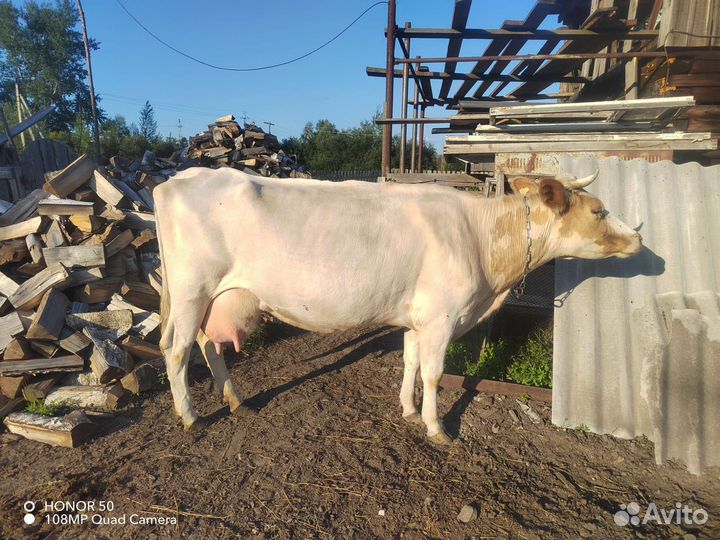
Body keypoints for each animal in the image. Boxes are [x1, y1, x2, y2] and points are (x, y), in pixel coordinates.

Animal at [155, 167, 642, 444]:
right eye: (598, 210)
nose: (638, 239)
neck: (480, 238)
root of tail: (178, 177)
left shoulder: (417, 317)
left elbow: (409, 362)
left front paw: (407, 409)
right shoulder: (443, 316)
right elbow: (434, 373)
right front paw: (437, 428)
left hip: (213, 298)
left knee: (208, 345)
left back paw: (235, 400)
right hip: (192, 290)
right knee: (176, 350)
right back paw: (191, 417)